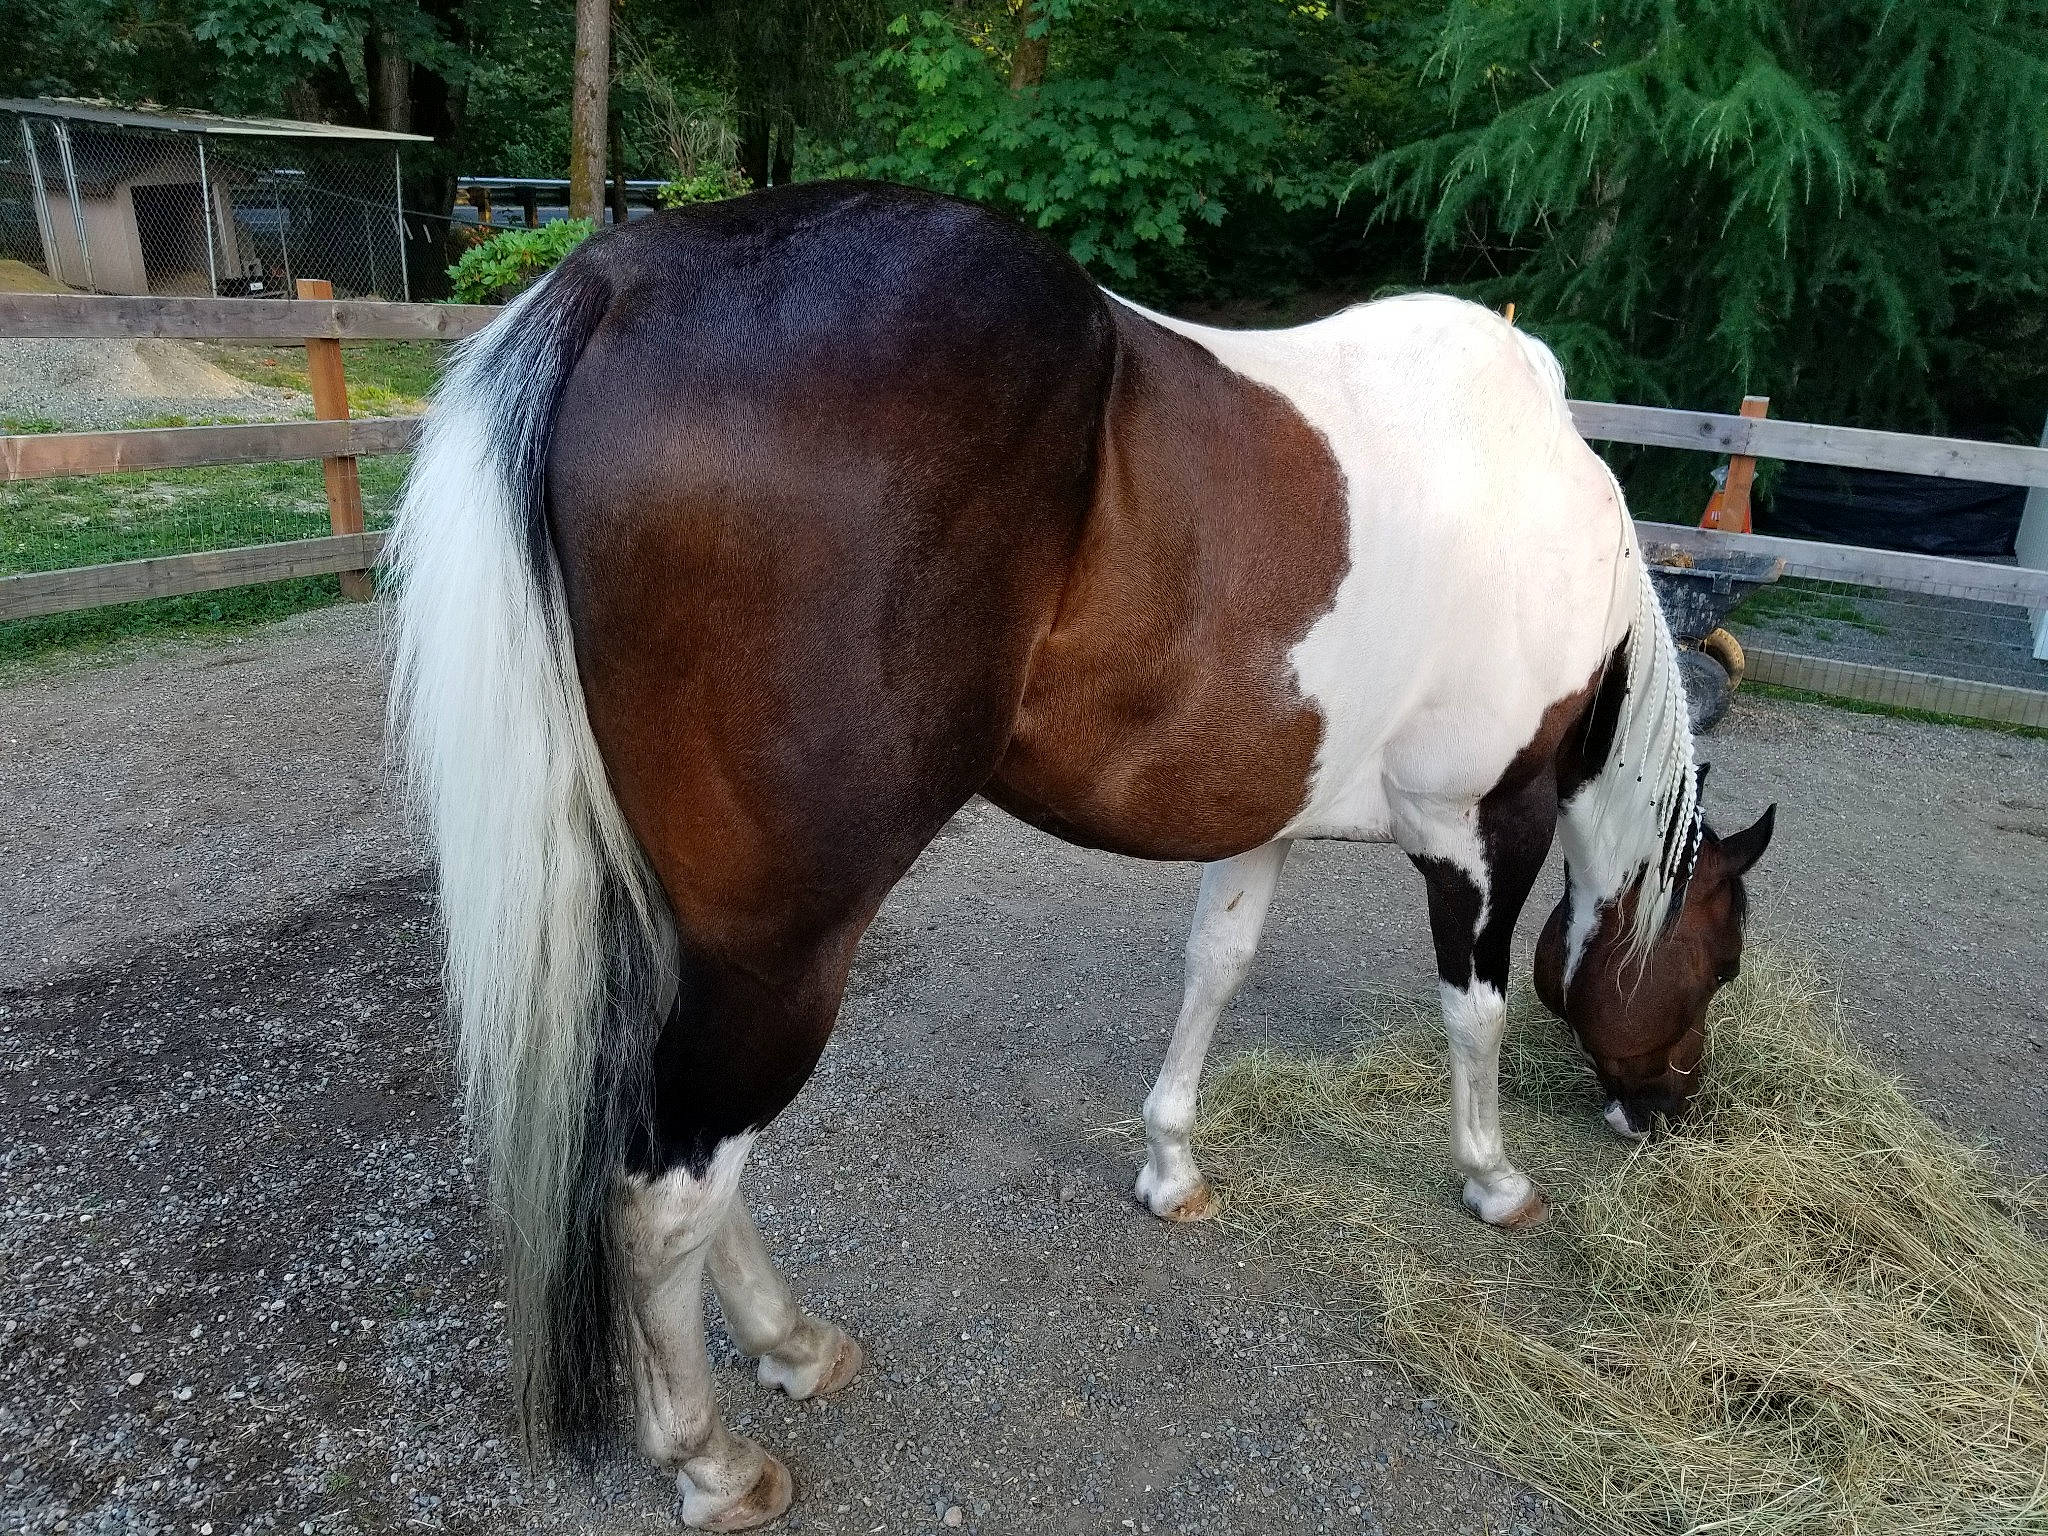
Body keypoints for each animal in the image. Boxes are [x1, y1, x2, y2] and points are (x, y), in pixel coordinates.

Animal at [390, 180, 1775, 1529]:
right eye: (1718, 961)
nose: (1670, 1111)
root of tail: (618, 283)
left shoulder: (1258, 820)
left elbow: (1214, 968)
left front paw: (1171, 1166)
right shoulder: (1484, 827)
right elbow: (1473, 1010)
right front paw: (1491, 1180)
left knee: (694, 1156)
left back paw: (793, 1345)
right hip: (781, 945)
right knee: (666, 1188)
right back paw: (713, 1462)